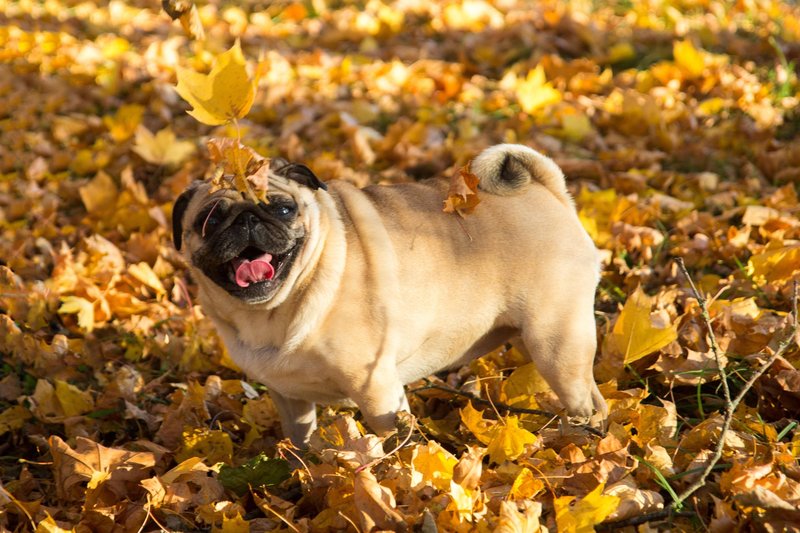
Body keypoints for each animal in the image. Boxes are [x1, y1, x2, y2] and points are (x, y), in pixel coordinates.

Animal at [172, 142, 604, 444]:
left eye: (282, 209)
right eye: (211, 220)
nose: (247, 220)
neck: (272, 312)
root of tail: (549, 191)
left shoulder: (377, 391)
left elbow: (395, 446)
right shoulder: (289, 398)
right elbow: (301, 442)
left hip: (556, 344)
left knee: (587, 399)